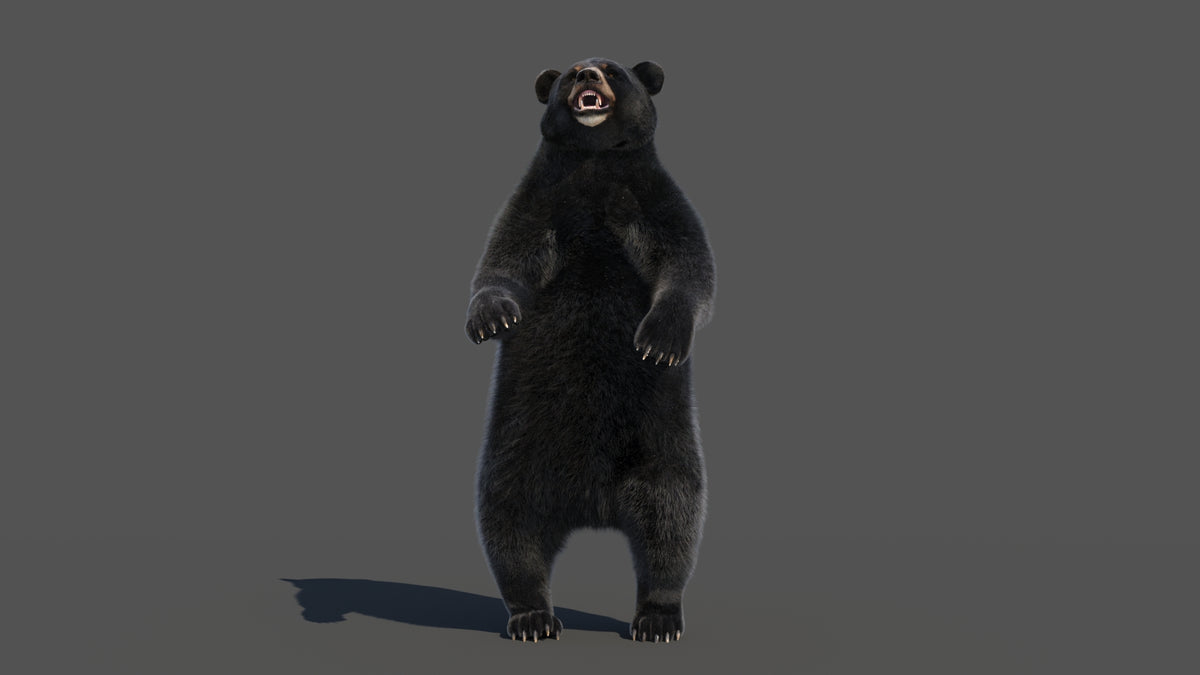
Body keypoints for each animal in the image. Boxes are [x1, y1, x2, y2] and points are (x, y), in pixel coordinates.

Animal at [465, 57, 715, 643]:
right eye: (567, 75)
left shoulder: (652, 199)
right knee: (508, 523)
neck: (594, 162)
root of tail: (593, 506)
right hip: (517, 455)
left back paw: (658, 616)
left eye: (613, 70)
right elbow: (502, 262)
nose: (586, 76)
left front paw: (658, 343)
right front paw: (492, 318)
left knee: (672, 517)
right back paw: (532, 615)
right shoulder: (541, 202)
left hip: (659, 448)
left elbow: (688, 264)